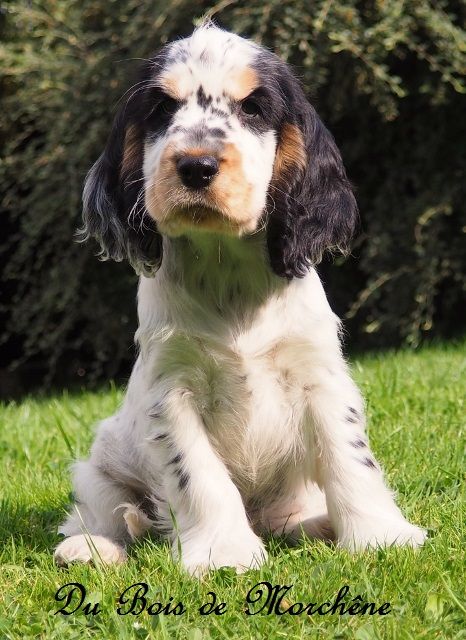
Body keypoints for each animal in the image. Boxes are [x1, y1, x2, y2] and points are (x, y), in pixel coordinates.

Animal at [54, 24, 426, 575]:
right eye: (161, 108)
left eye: (253, 107)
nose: (196, 165)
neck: (225, 266)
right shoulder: (172, 390)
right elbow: (199, 476)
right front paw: (223, 552)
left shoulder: (321, 375)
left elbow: (350, 456)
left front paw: (380, 536)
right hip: (100, 464)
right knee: (105, 511)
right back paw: (89, 547)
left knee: (290, 515)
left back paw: (317, 525)